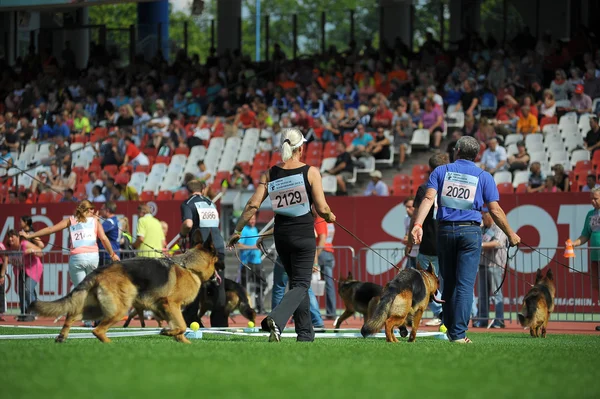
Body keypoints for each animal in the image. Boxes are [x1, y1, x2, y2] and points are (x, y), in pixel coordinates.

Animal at [29, 231, 218, 344]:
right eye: (217, 260)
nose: (219, 277)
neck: (190, 267)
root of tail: (99, 271)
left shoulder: (168, 309)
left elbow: (179, 327)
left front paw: (184, 342)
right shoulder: (171, 304)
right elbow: (182, 325)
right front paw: (169, 333)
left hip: (94, 309)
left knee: (72, 315)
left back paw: (62, 336)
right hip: (118, 310)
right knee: (97, 330)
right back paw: (110, 346)